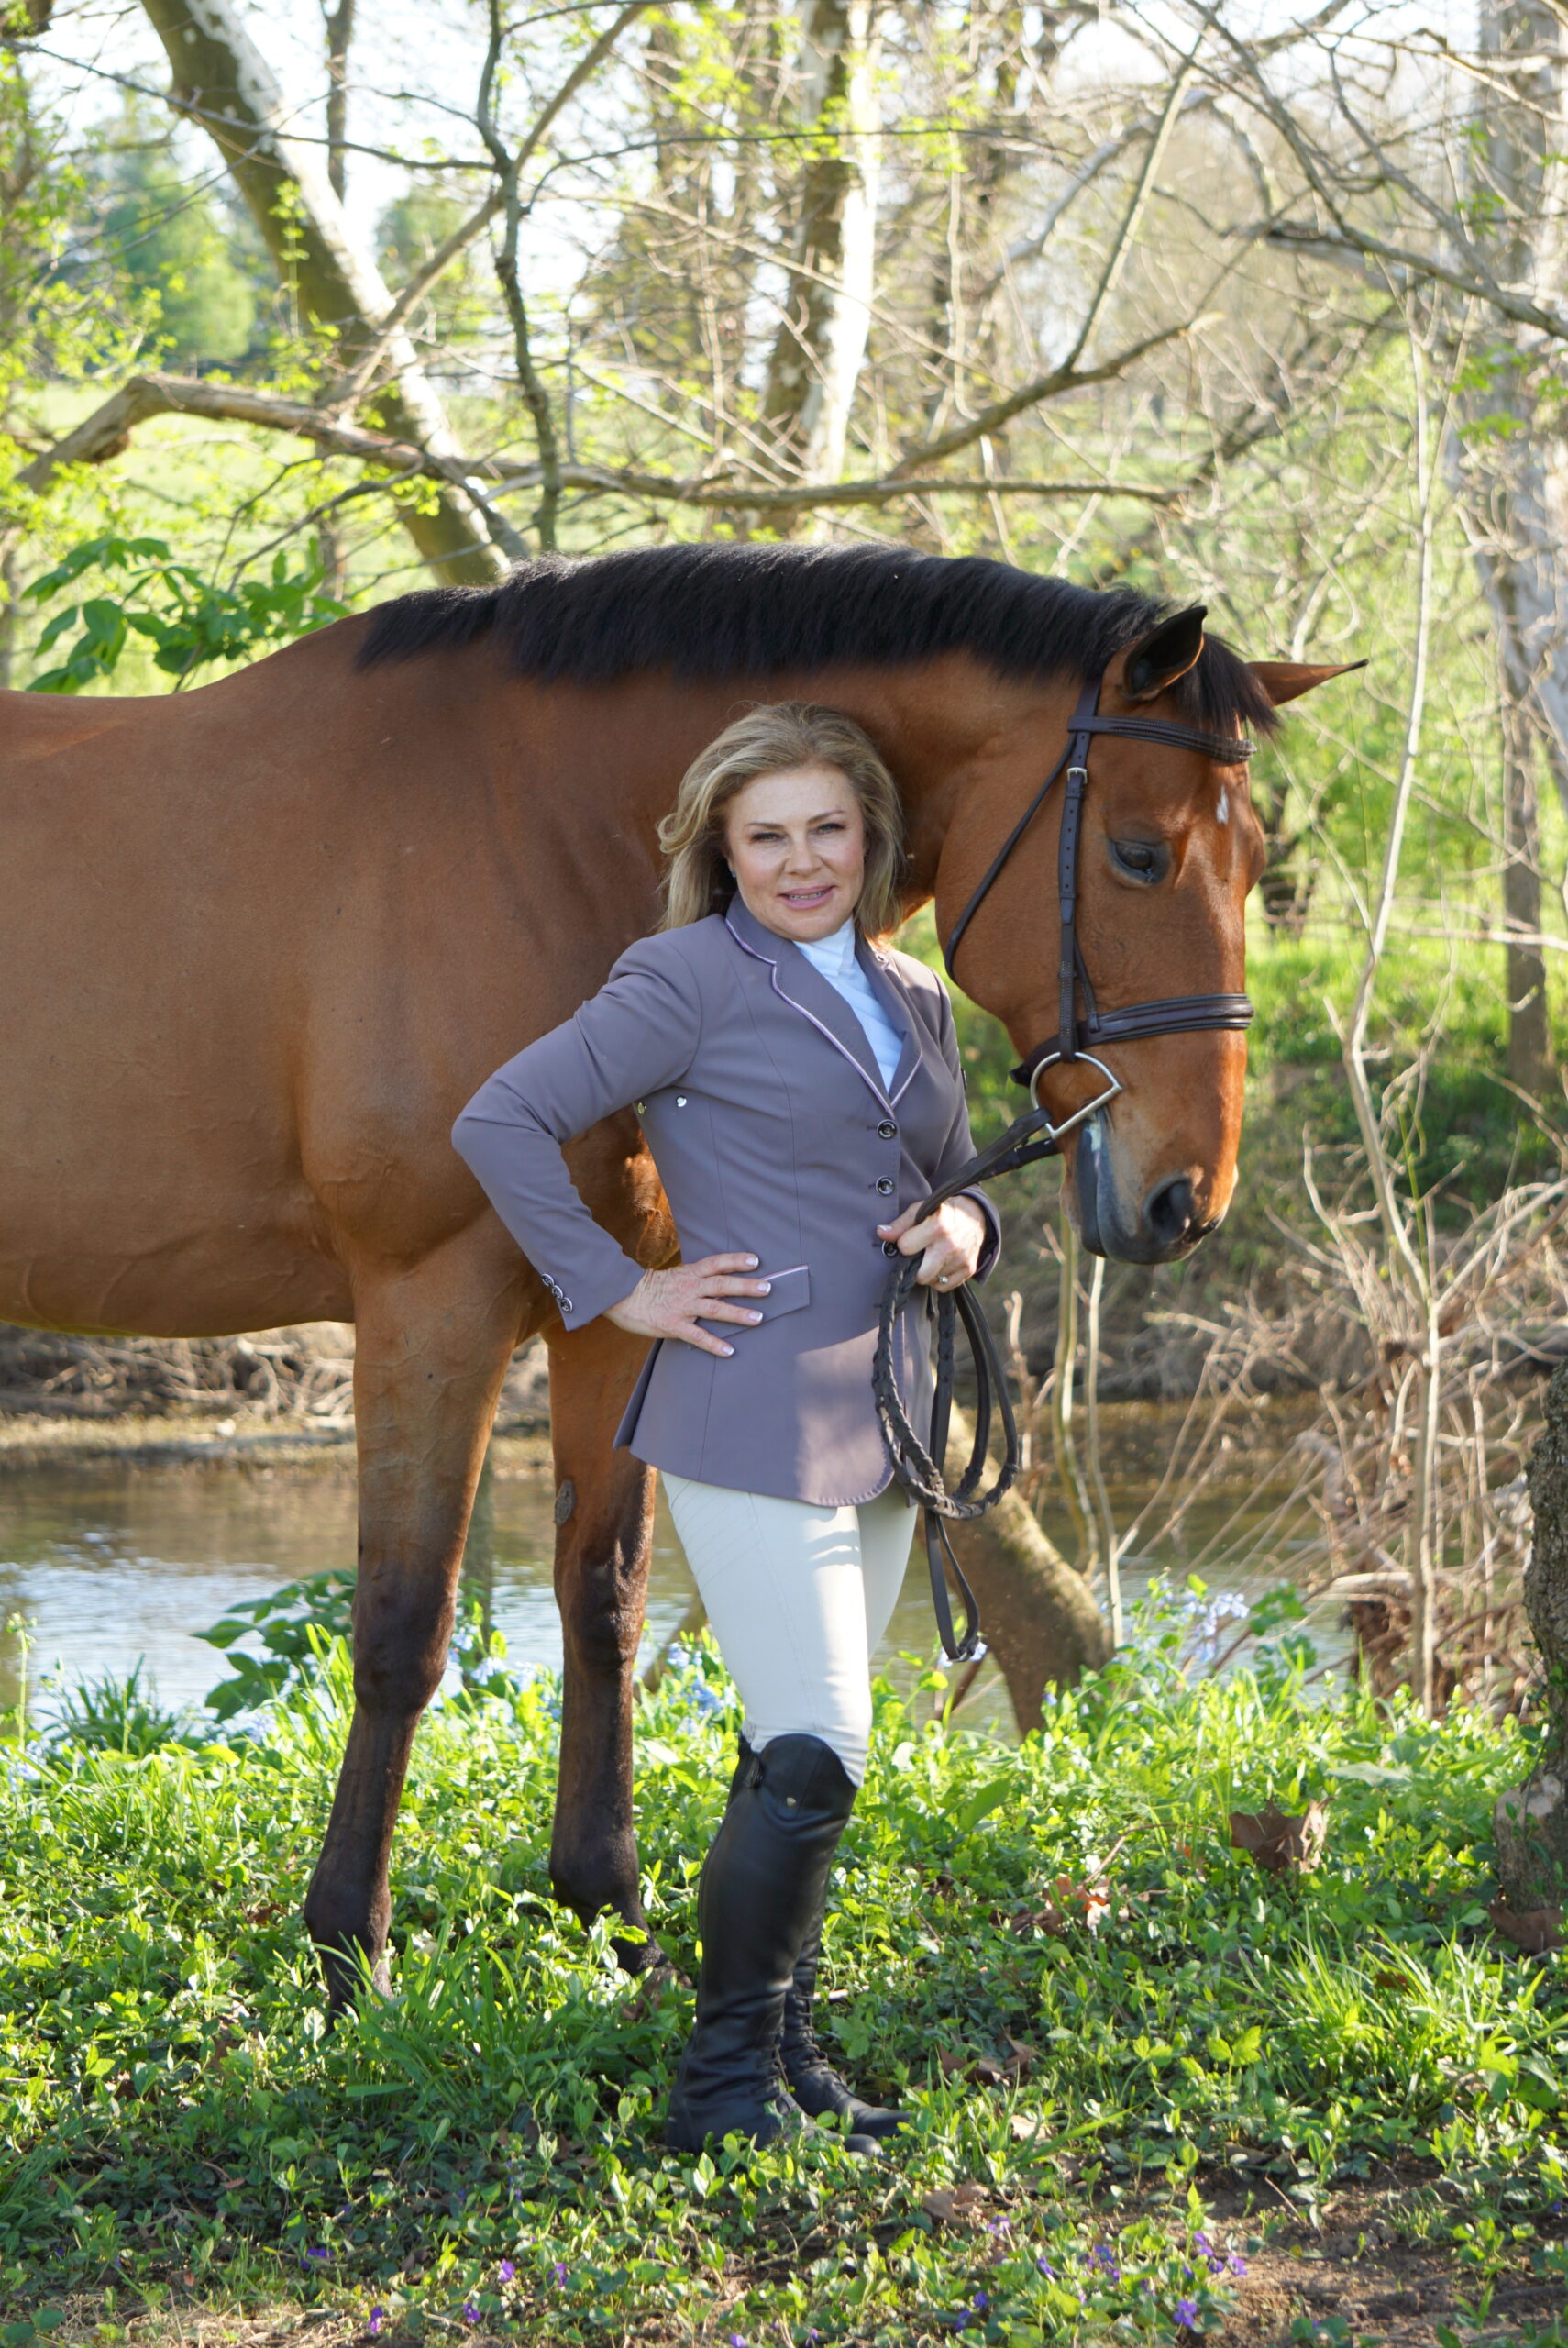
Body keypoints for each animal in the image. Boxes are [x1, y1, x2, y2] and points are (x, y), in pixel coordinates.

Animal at [0, 543, 1351, 2002]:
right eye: (1137, 853)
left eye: (1256, 862)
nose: (1183, 1197)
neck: (528, 829)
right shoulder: (432, 1302)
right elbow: (404, 1625)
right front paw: (350, 1949)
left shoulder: (631, 1307)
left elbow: (605, 1599)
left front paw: (615, 1919)